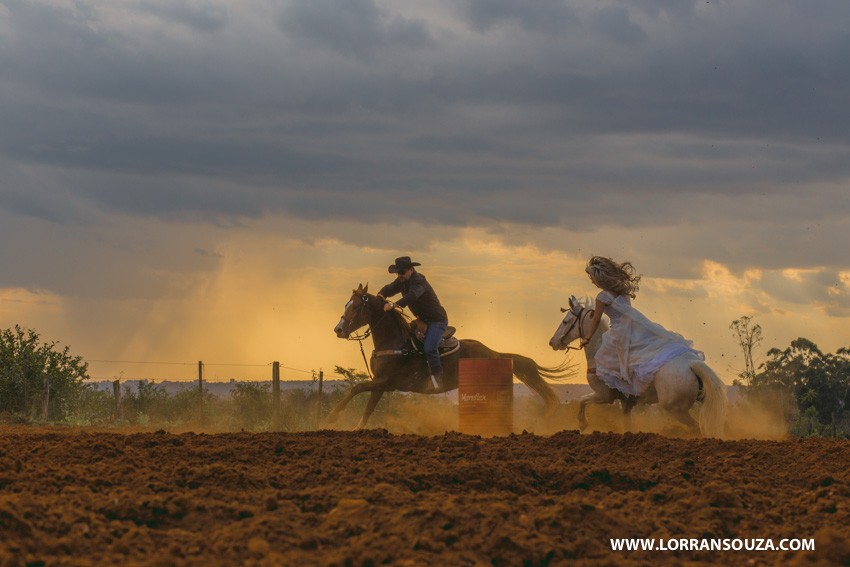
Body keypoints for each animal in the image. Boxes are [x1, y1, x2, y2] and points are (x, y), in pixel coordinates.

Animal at [328, 284, 572, 430]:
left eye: (356, 306)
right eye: (346, 304)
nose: (338, 329)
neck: (397, 343)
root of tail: (494, 353)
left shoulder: (387, 382)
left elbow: (356, 388)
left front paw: (332, 416)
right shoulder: (380, 384)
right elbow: (368, 407)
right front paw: (354, 428)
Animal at [548, 298, 724, 440]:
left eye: (565, 321)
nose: (552, 342)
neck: (598, 350)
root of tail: (690, 364)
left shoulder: (605, 395)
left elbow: (582, 400)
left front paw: (582, 423)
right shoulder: (626, 403)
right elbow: (627, 423)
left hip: (675, 409)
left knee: (696, 427)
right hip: (700, 400)